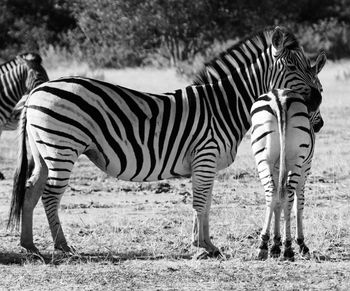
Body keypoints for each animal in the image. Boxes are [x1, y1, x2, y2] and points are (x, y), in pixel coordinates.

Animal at [252, 88, 326, 262]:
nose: (320, 125)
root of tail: (279, 98)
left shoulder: (277, 168)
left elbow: (277, 202)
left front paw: (275, 244)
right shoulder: (306, 167)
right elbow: (299, 203)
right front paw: (300, 243)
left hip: (263, 158)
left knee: (272, 192)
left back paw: (264, 245)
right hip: (296, 160)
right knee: (290, 195)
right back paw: (288, 248)